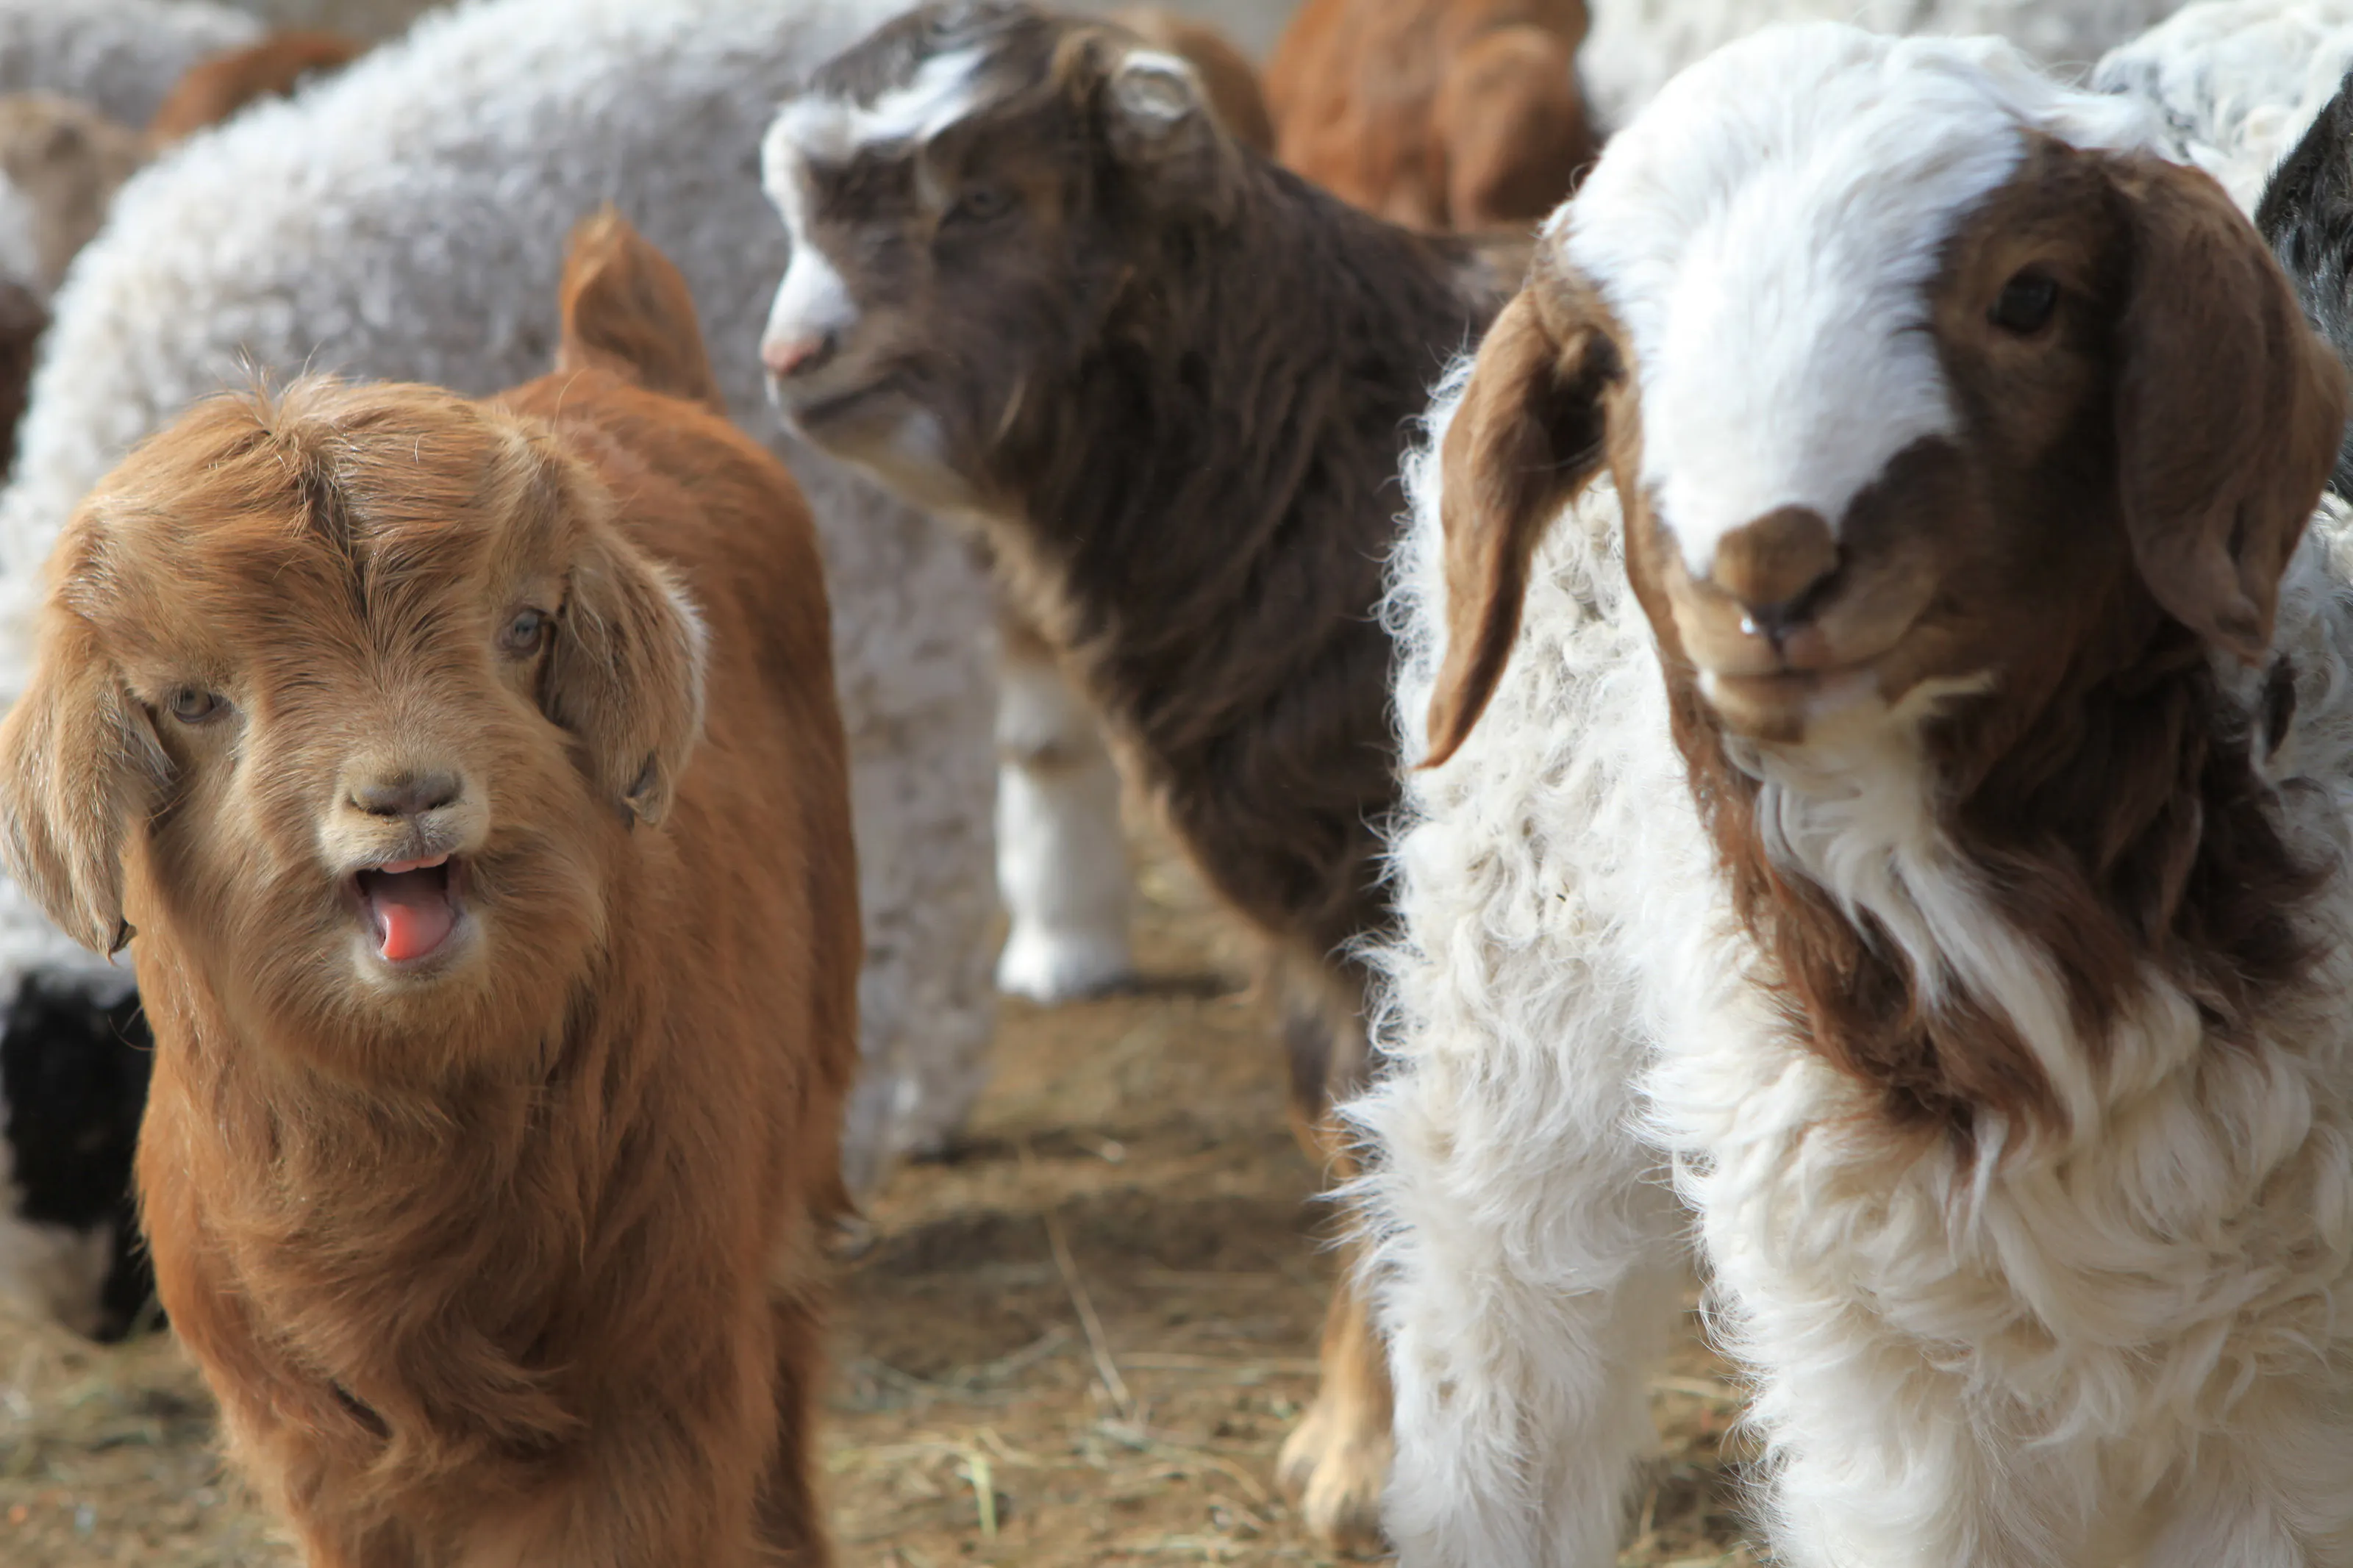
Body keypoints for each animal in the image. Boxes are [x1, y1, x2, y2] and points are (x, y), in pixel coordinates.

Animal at [0, 209, 855, 1568]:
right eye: (191, 699)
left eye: (524, 630)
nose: (405, 791)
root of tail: (610, 370)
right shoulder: (322, 1461)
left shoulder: (654, 1405)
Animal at [758, 1, 1523, 1544]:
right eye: (799, 212)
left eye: (984, 201)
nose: (797, 353)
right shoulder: (1307, 917)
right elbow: (1340, 1132)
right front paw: (1346, 1435)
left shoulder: (1387, 882)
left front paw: (1368, 1465)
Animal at [1363, 21, 2353, 1565]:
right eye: (1609, 367)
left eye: (2030, 296)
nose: (1763, 571)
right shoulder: (1890, 1382)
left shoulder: (2289, 1395)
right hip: (1514, 1013)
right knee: (1506, 1363)